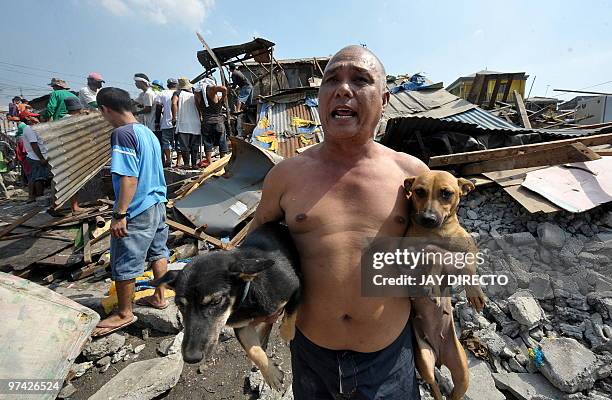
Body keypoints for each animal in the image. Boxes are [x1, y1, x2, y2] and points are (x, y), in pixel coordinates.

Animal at [154, 222, 300, 390]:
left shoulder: (296, 286)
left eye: (216, 301)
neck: (247, 296)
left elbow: (291, 312)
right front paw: (270, 374)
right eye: (179, 304)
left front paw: (286, 334)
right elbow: (254, 351)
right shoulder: (242, 327)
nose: (191, 358)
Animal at [404, 170, 486, 400]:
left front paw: (474, 292)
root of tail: (441, 355)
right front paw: (432, 284)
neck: (438, 233)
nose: (428, 219)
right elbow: (434, 254)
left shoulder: (469, 245)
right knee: (435, 388)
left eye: (446, 193)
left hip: (462, 374)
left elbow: (469, 267)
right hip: (425, 362)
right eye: (419, 191)